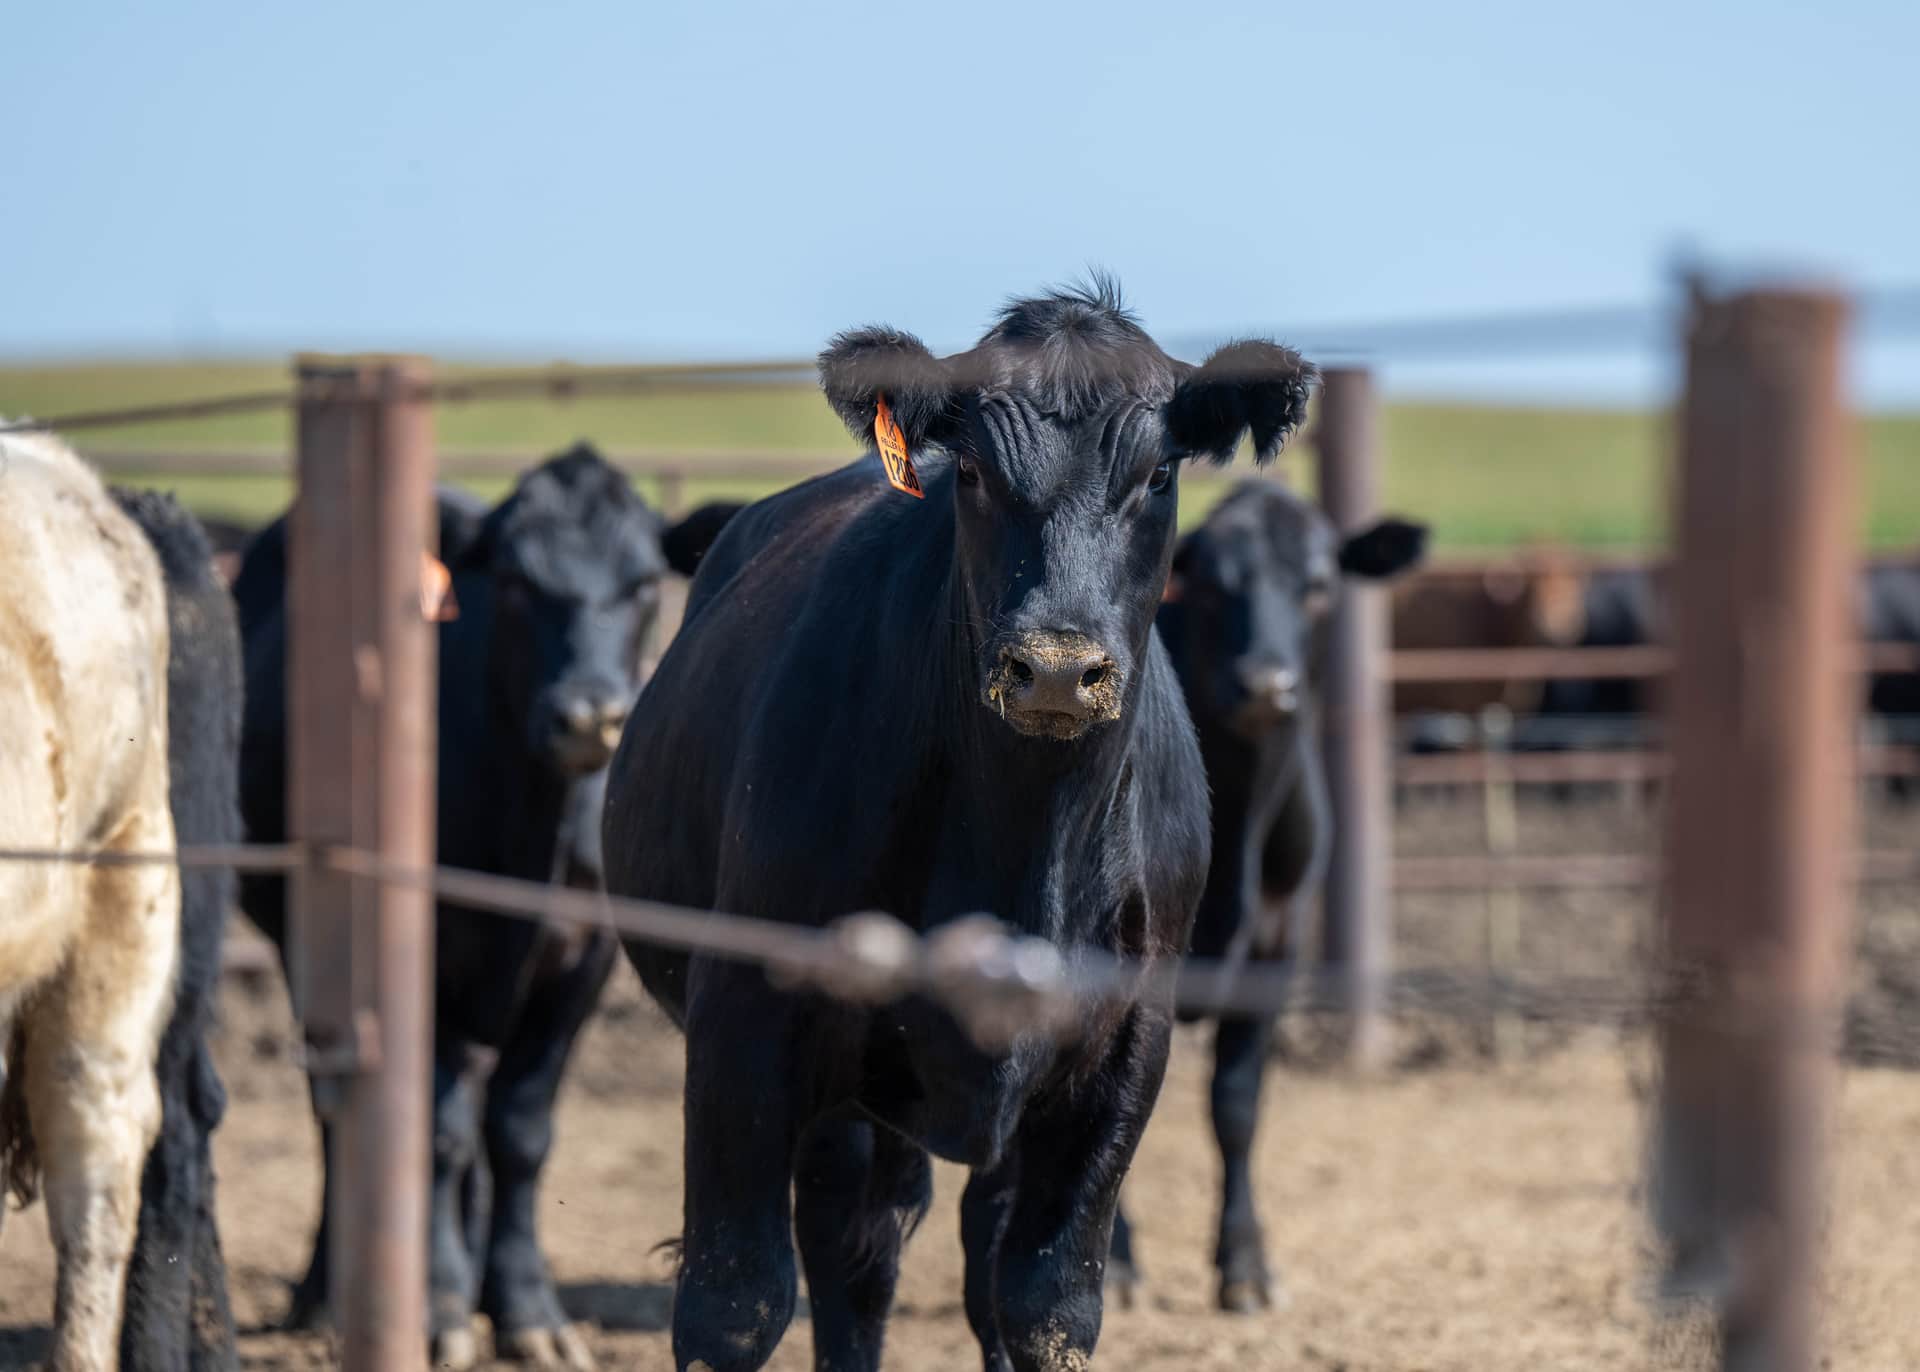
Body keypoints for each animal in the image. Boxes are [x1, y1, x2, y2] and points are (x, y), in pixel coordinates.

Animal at [234, 444, 669, 1369]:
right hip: (307, 941)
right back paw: (329, 1294)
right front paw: (433, 1310)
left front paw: (526, 1309)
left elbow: (521, 1131)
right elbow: (431, 1132)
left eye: (647, 581)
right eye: (512, 580)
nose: (590, 716)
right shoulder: (421, 953)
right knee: (340, 1111)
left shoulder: (584, 958)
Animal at [602, 280, 1319, 1372]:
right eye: (974, 471)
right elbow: (735, 1302)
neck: (1020, 842)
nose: (1058, 667)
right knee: (850, 1251)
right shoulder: (746, 1013)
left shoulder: (1123, 1044)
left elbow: (1047, 1305)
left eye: (1158, 474)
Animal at [1105, 481, 1426, 1313]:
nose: (1263, 685)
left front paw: (1245, 1263)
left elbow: (1237, 1103)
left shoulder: (1277, 945)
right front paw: (1113, 1262)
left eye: (1318, 585)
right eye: (1213, 585)